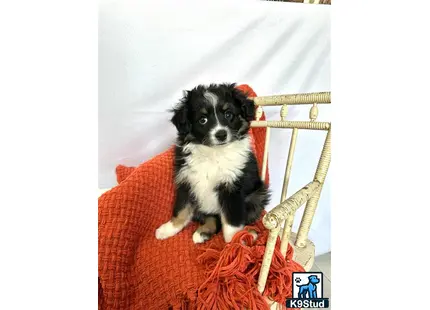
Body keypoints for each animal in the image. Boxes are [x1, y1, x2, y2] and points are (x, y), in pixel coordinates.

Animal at [155, 83, 268, 243]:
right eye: (203, 120)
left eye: (228, 114)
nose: (221, 134)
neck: (213, 153)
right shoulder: (186, 181)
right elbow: (181, 209)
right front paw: (169, 229)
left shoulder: (232, 187)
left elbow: (231, 220)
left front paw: (233, 241)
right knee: (212, 218)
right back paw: (203, 232)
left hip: (258, 195)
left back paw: (250, 232)